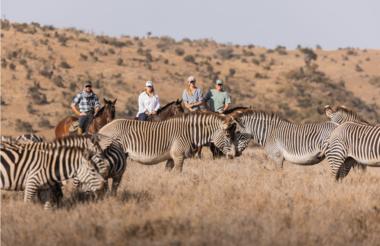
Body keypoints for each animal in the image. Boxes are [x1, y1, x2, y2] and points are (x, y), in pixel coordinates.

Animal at [98, 112, 238, 172]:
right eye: (228, 136)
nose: (234, 155)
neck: (189, 133)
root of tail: (102, 128)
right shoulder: (178, 156)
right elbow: (178, 173)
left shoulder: (171, 157)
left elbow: (168, 173)